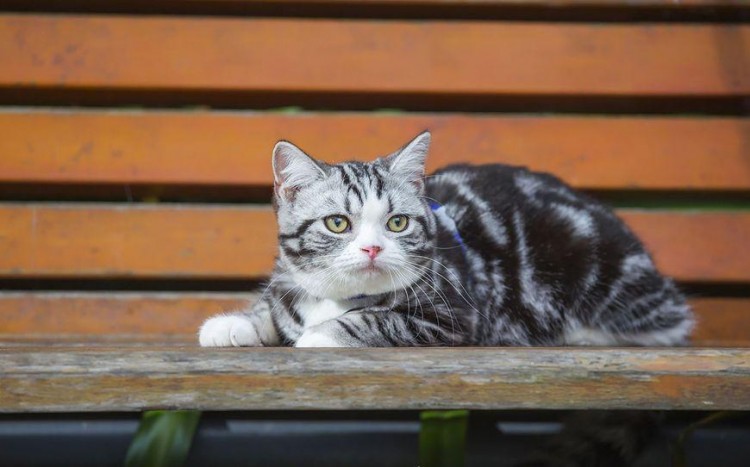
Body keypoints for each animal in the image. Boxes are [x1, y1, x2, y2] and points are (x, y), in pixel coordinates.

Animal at [198, 130, 692, 350]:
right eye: (337, 224)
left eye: (397, 223)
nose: (372, 248)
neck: (340, 297)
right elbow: (275, 309)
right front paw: (236, 322)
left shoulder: (456, 315)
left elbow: (376, 319)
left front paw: (320, 335)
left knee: (671, 323)